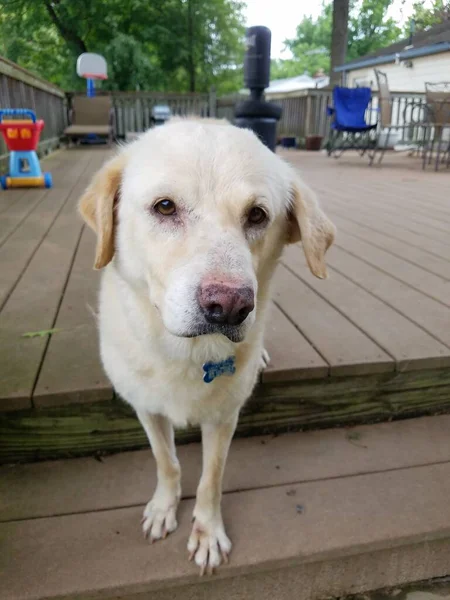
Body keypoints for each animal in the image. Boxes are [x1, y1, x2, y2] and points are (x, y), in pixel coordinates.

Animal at [80, 118, 334, 576]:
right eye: (165, 207)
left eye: (257, 215)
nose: (230, 306)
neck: (187, 355)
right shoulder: (146, 408)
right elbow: (167, 462)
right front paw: (164, 508)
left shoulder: (224, 417)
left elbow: (210, 479)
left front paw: (207, 532)